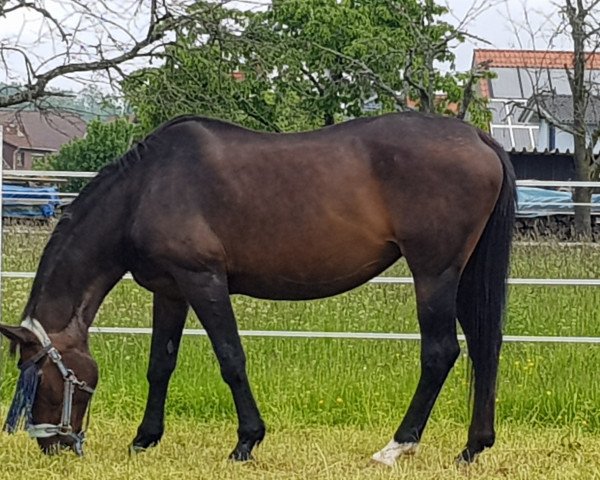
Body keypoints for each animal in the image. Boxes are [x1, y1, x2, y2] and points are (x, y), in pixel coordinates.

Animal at [0, 112, 516, 464]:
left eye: (40, 377)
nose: (52, 445)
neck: (146, 189)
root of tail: (478, 137)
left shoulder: (203, 280)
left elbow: (231, 357)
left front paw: (246, 441)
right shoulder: (170, 290)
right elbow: (160, 365)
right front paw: (144, 439)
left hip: (434, 272)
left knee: (441, 352)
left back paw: (396, 446)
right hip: (464, 274)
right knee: (484, 346)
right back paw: (473, 447)